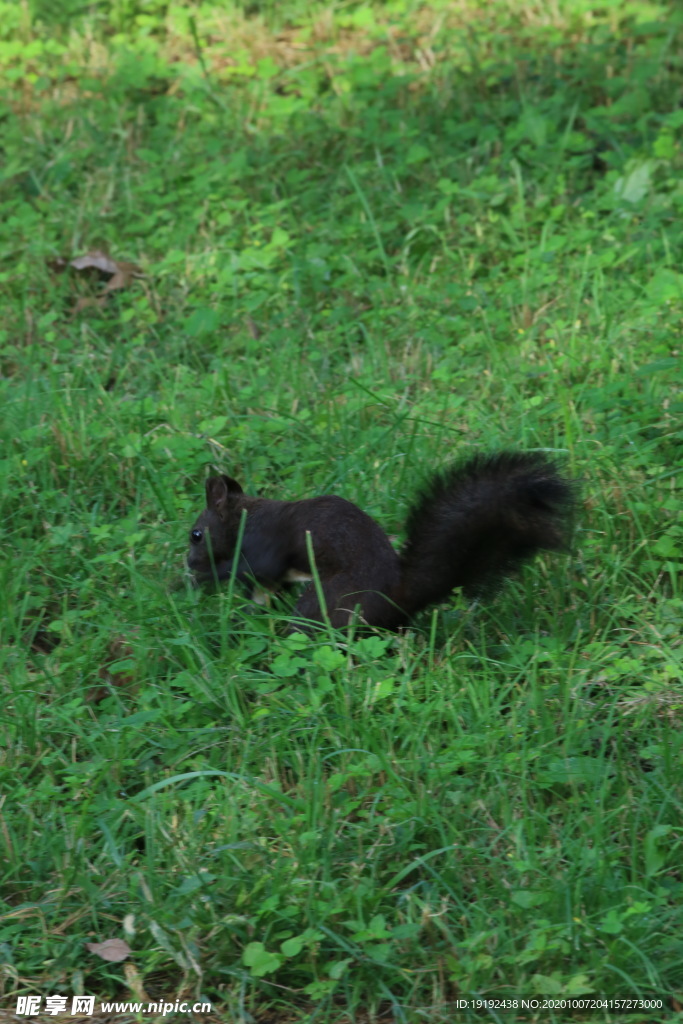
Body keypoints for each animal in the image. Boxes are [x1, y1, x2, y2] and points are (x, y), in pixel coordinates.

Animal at [187, 450, 577, 626]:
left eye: (196, 535)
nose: (189, 563)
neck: (244, 518)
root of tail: (397, 600)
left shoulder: (262, 544)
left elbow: (255, 570)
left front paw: (201, 581)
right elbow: (263, 590)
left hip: (328, 599)